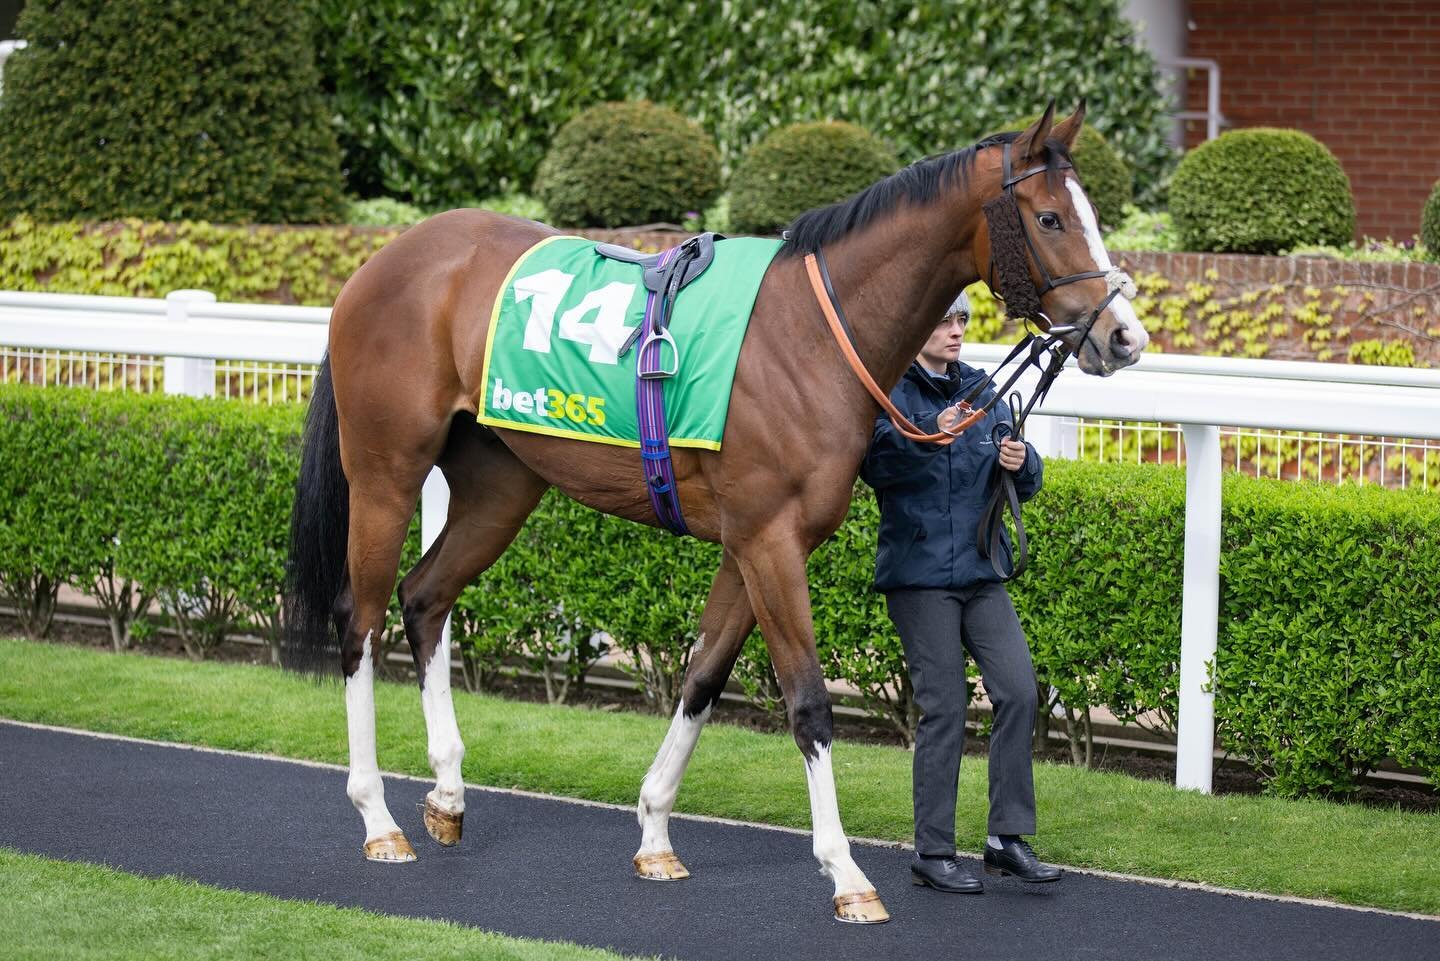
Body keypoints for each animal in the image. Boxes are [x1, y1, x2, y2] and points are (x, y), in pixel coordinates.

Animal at [286, 105, 1152, 922]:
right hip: (387, 472)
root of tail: (382, 261)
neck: (809, 336)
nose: (1123, 336)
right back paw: (378, 818)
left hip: (500, 485)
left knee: (425, 597)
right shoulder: (771, 543)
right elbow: (808, 700)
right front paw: (846, 873)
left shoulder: (747, 543)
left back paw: (447, 794)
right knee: (360, 619)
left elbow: (701, 677)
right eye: (1051, 218)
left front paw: (655, 833)